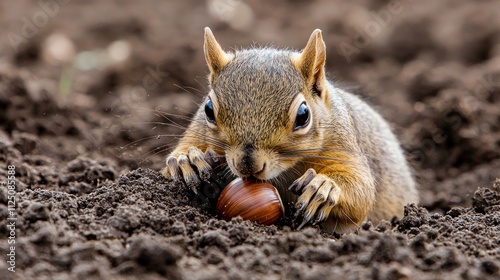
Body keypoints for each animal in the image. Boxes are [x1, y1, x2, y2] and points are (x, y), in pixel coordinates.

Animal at [162, 27, 420, 233]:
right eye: (208, 109)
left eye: (303, 116)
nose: (248, 165)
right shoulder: (197, 130)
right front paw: (188, 159)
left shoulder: (343, 144)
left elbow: (361, 192)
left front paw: (324, 187)